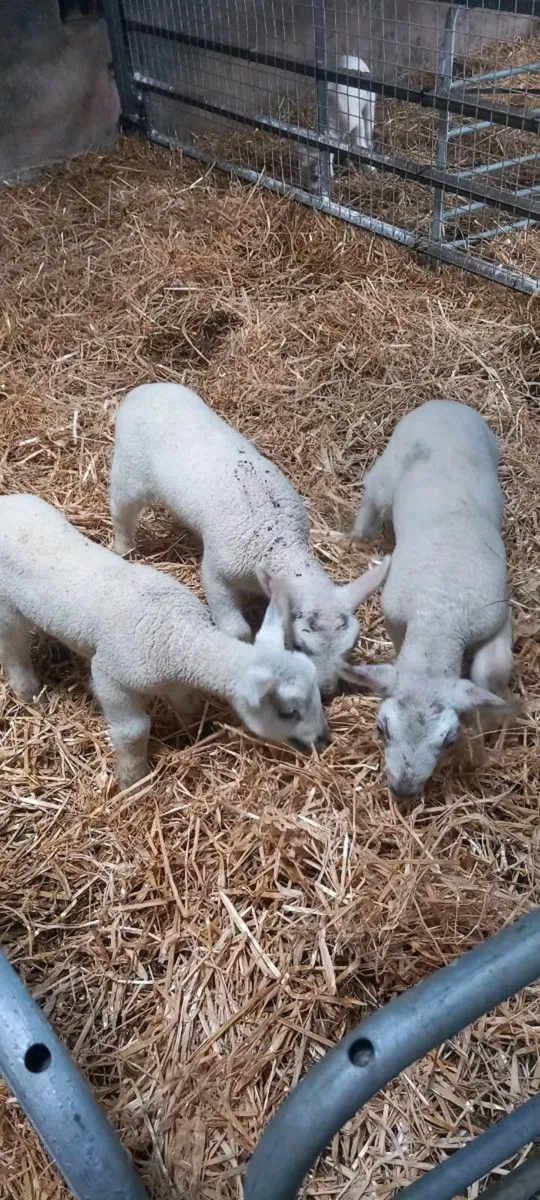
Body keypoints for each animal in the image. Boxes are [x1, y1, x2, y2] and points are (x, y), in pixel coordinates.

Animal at [0, 494, 329, 787]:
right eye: (288, 711)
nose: (324, 740)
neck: (178, 635)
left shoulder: (176, 680)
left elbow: (188, 704)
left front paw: (192, 730)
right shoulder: (111, 675)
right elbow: (132, 730)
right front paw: (133, 779)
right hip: (7, 609)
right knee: (13, 649)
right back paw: (29, 690)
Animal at [110, 382, 389, 697]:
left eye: (350, 647)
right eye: (299, 645)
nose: (327, 690)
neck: (280, 541)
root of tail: (145, 389)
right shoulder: (217, 574)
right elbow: (236, 629)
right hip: (131, 469)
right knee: (122, 508)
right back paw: (124, 548)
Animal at [299, 54, 376, 191]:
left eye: (315, 177)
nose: (310, 191)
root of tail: (354, 57)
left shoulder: (356, 122)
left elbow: (359, 141)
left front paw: (370, 169)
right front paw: (348, 163)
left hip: (370, 101)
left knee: (369, 126)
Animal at [343, 399, 516, 798]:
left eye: (449, 740)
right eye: (381, 729)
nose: (404, 790)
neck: (441, 614)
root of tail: (444, 404)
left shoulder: (496, 617)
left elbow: (492, 669)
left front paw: (489, 718)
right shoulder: (396, 615)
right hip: (388, 466)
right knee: (373, 496)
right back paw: (359, 538)